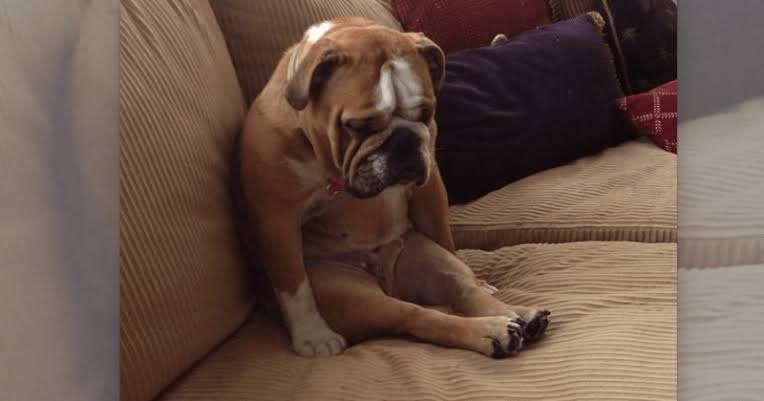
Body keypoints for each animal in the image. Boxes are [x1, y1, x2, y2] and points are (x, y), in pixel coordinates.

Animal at [239, 17, 549, 358]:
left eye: (426, 114)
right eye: (357, 126)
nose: (403, 139)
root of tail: (392, 284)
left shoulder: (430, 188)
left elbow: (443, 235)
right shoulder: (276, 216)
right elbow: (294, 284)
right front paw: (313, 336)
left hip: (428, 257)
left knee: (463, 290)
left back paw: (518, 316)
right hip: (355, 294)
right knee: (417, 316)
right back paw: (492, 331)